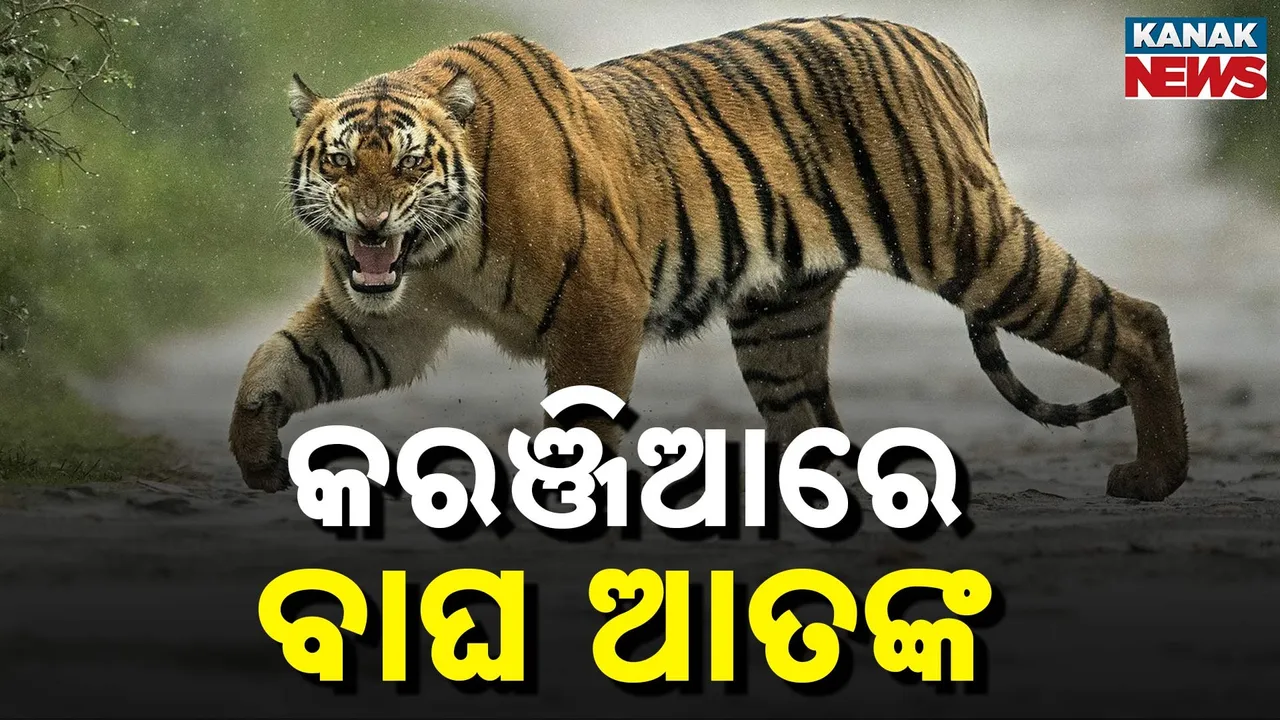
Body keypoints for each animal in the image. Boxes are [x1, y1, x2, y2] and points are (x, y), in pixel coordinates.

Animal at [228, 15, 1189, 502]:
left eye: (408, 165)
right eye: (340, 162)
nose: (370, 221)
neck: (436, 254)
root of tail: (938, 47)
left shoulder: (599, 301)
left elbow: (577, 429)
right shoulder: (383, 324)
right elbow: (276, 363)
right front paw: (258, 458)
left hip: (969, 239)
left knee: (1133, 318)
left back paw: (1157, 477)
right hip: (779, 320)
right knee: (815, 428)